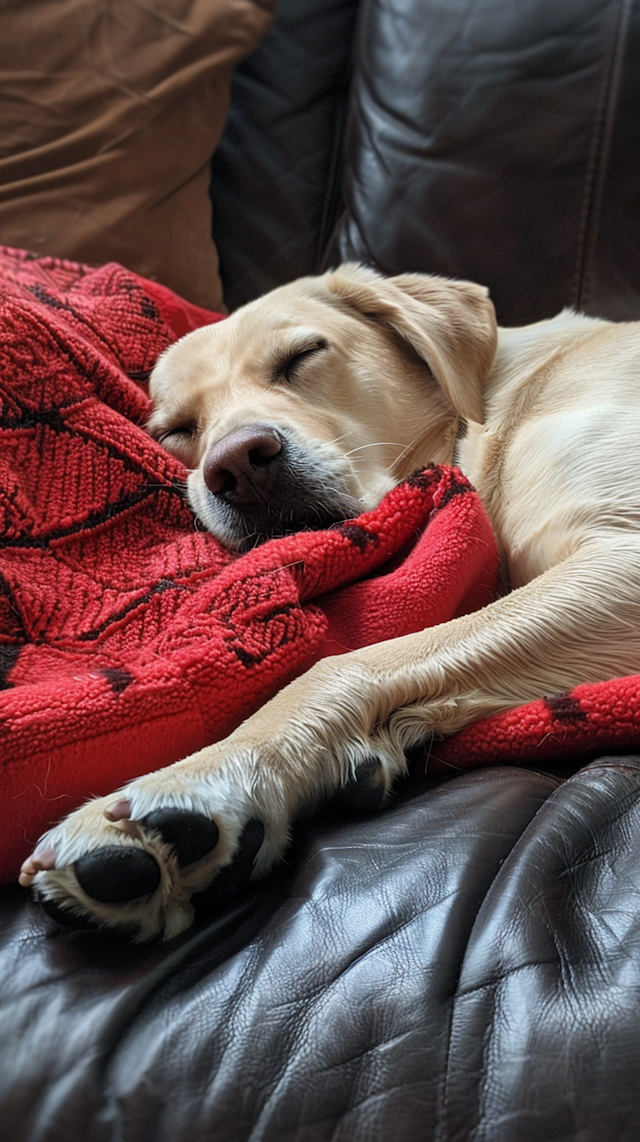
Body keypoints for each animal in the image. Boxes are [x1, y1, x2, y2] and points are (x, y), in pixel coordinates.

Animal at [17, 264, 640, 936]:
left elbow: (339, 665)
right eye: (176, 429)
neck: (493, 401)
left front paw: (207, 777)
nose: (236, 465)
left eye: (302, 356)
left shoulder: (621, 555)